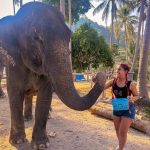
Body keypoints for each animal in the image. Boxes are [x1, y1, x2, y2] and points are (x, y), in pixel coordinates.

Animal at [0, 1, 106, 149]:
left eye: (69, 37)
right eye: (37, 38)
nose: (99, 75)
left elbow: (45, 95)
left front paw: (41, 145)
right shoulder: (13, 63)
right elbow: (14, 92)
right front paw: (18, 141)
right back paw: (27, 118)